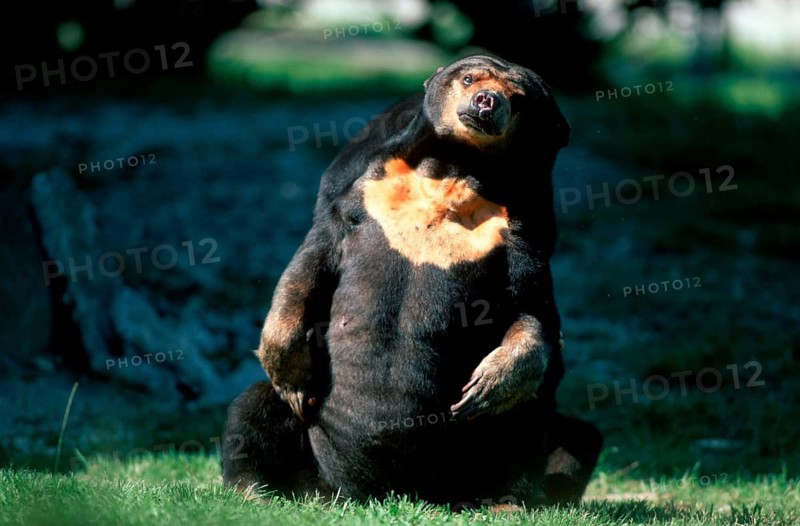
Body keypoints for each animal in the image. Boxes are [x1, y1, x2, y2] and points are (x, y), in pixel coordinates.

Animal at [221, 54, 602, 508]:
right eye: (469, 78)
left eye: (519, 98)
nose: (487, 102)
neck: (456, 170)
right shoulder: (364, 194)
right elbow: (311, 264)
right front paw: (291, 371)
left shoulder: (522, 232)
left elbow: (531, 310)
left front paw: (489, 383)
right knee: (253, 407)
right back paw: (255, 490)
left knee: (545, 423)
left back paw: (507, 499)